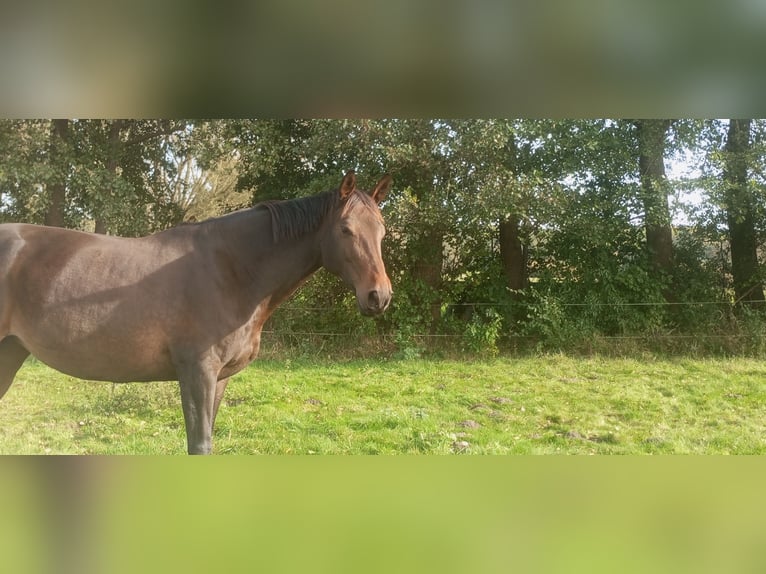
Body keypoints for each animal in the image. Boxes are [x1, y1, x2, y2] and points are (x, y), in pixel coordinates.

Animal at [0, 171, 392, 454]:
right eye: (346, 229)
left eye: (382, 231)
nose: (379, 296)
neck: (230, 270)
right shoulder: (197, 372)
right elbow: (199, 444)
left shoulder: (219, 378)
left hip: (10, 351)